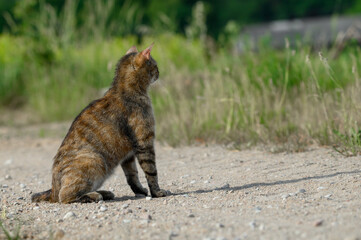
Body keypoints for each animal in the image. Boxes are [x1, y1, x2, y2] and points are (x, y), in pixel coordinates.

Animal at [31, 43, 166, 202]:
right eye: (155, 65)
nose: (159, 72)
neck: (124, 89)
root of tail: (52, 190)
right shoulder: (145, 143)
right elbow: (151, 172)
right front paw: (157, 192)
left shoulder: (129, 156)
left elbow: (132, 176)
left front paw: (140, 190)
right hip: (95, 160)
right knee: (65, 196)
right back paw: (95, 195)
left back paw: (104, 193)